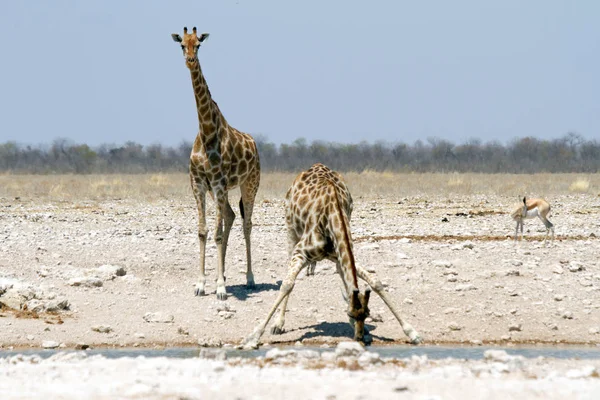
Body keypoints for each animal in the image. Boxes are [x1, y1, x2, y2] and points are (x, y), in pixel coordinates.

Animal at [171, 26, 260, 298]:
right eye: (182, 45)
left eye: (198, 45)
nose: (190, 60)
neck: (207, 132)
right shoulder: (199, 183)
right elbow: (204, 231)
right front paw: (202, 284)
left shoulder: (219, 182)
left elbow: (218, 234)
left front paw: (220, 287)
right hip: (219, 190)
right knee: (230, 216)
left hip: (250, 184)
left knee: (246, 223)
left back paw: (250, 278)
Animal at [241, 164, 420, 348]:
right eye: (350, 314)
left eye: (367, 314)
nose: (359, 338)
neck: (332, 215)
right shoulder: (300, 252)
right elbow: (287, 284)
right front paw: (254, 336)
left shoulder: (338, 254)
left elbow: (375, 281)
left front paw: (411, 332)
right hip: (291, 229)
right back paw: (278, 324)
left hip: (334, 255)